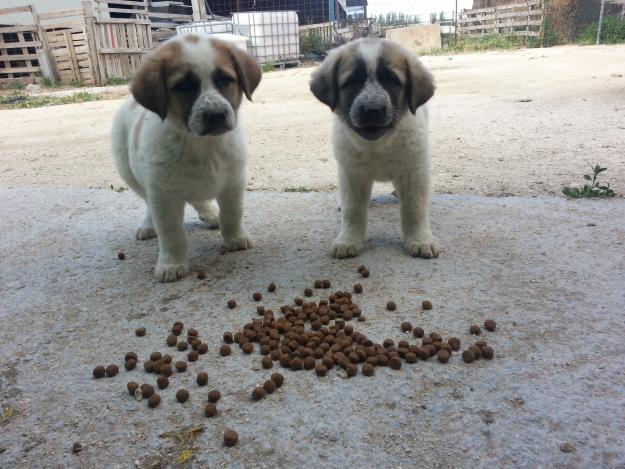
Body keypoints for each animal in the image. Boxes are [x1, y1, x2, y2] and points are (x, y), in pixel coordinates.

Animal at [111, 34, 260, 282]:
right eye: (185, 86)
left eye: (225, 80)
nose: (216, 115)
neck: (202, 145)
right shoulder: (163, 193)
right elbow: (172, 232)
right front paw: (171, 263)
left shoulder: (233, 181)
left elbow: (233, 213)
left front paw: (235, 237)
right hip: (130, 173)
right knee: (147, 202)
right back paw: (148, 225)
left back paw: (211, 215)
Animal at [308, 39, 436, 260]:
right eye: (352, 82)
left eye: (392, 81)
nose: (372, 110)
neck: (378, 145)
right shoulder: (352, 173)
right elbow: (352, 210)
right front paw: (348, 239)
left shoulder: (414, 170)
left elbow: (415, 208)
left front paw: (420, 239)